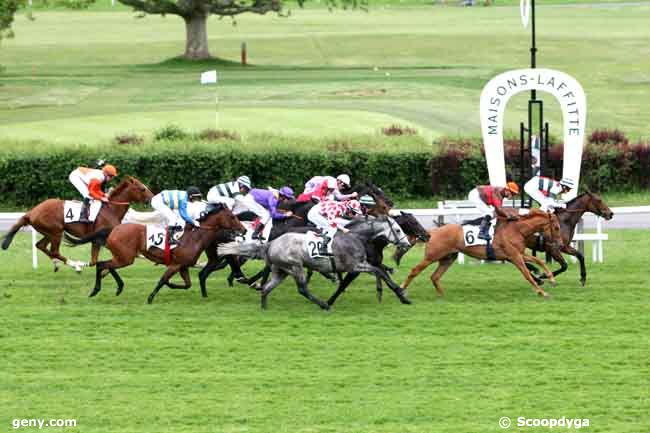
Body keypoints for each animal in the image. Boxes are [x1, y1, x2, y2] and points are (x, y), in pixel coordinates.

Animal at [0, 176, 152, 270]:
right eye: (142, 188)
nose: (152, 198)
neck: (111, 209)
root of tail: (31, 212)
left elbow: (95, 260)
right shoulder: (102, 237)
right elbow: (95, 261)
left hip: (49, 233)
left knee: (41, 245)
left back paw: (57, 264)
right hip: (56, 232)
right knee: (54, 251)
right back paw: (75, 265)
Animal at [64, 203, 244, 302]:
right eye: (232, 216)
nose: (243, 229)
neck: (195, 237)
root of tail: (114, 229)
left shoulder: (183, 266)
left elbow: (187, 284)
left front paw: (171, 285)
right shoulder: (176, 265)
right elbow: (162, 280)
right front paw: (150, 298)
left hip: (123, 256)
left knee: (107, 266)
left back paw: (118, 287)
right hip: (126, 257)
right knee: (102, 265)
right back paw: (97, 289)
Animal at [218, 214, 410, 308]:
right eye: (398, 230)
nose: (407, 244)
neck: (357, 237)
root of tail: (271, 243)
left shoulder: (360, 266)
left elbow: (380, 271)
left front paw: (401, 296)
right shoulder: (354, 266)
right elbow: (378, 272)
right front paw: (399, 294)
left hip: (281, 270)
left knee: (267, 288)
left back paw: (264, 306)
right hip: (295, 266)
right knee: (302, 289)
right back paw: (324, 305)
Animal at [398, 208, 560, 296]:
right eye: (557, 227)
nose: (559, 244)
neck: (516, 229)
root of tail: (431, 232)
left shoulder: (518, 254)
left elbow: (538, 261)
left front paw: (551, 279)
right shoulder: (514, 256)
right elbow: (527, 274)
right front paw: (541, 292)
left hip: (448, 258)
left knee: (435, 276)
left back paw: (442, 295)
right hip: (431, 257)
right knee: (415, 271)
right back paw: (401, 289)